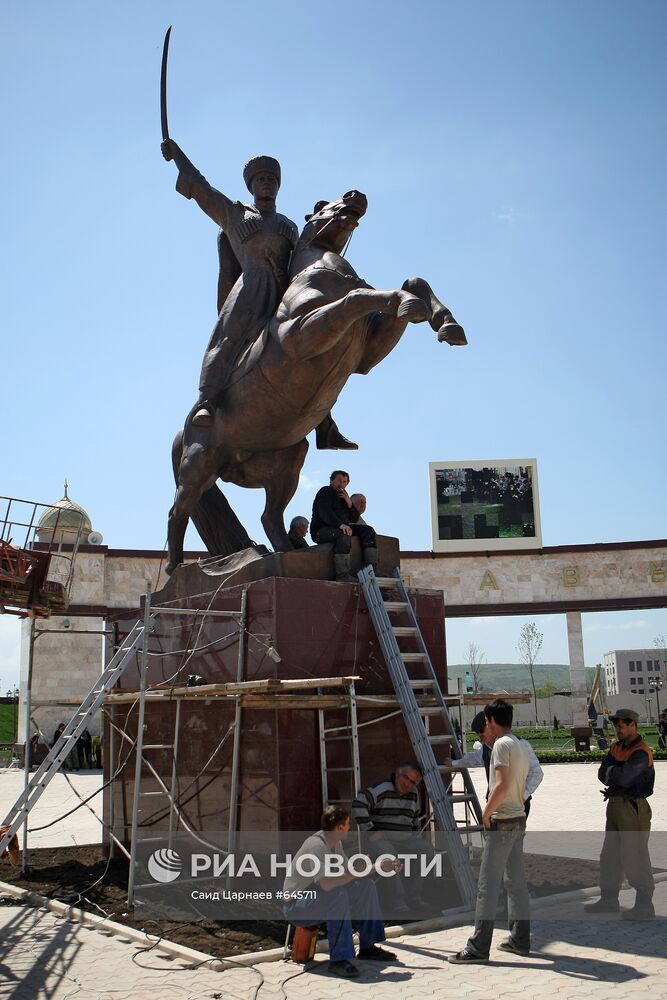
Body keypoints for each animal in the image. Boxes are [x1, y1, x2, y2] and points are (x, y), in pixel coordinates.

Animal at [167, 190, 468, 576]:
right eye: (323, 205)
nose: (357, 195)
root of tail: (186, 428)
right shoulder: (300, 335)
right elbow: (357, 296)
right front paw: (409, 305)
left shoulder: (366, 354)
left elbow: (412, 281)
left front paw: (447, 324)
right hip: (198, 468)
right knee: (178, 512)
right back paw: (177, 570)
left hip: (288, 461)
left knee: (269, 516)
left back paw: (285, 556)